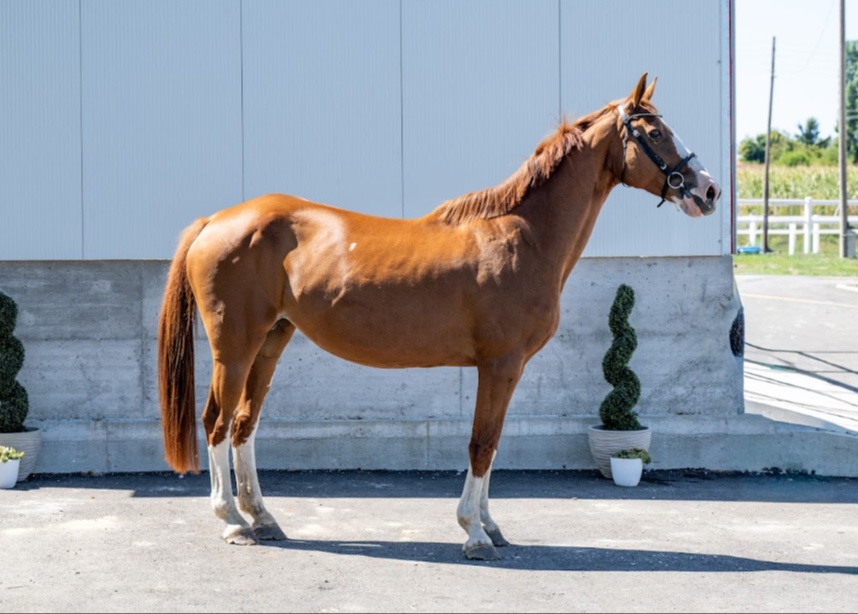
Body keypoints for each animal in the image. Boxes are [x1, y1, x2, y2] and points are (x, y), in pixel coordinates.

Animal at [157, 73, 720, 561]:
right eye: (654, 132)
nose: (709, 190)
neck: (523, 235)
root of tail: (216, 221)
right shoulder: (500, 364)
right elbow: (481, 444)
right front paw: (474, 533)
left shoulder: (508, 369)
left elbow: (492, 445)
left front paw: (491, 526)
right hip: (235, 346)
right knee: (217, 423)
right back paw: (233, 522)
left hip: (271, 340)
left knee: (243, 426)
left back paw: (263, 519)